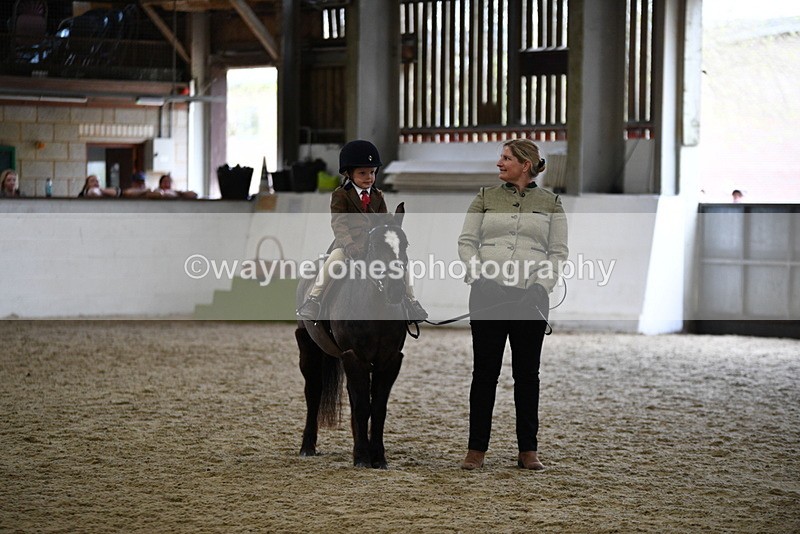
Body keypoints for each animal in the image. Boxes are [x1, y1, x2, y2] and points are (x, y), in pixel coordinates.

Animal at [295, 203, 410, 468]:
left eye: (405, 245)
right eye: (375, 245)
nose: (396, 289)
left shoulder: (389, 360)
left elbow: (377, 408)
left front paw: (378, 457)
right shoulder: (354, 356)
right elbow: (362, 407)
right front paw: (363, 458)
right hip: (308, 348)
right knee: (313, 393)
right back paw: (307, 447)